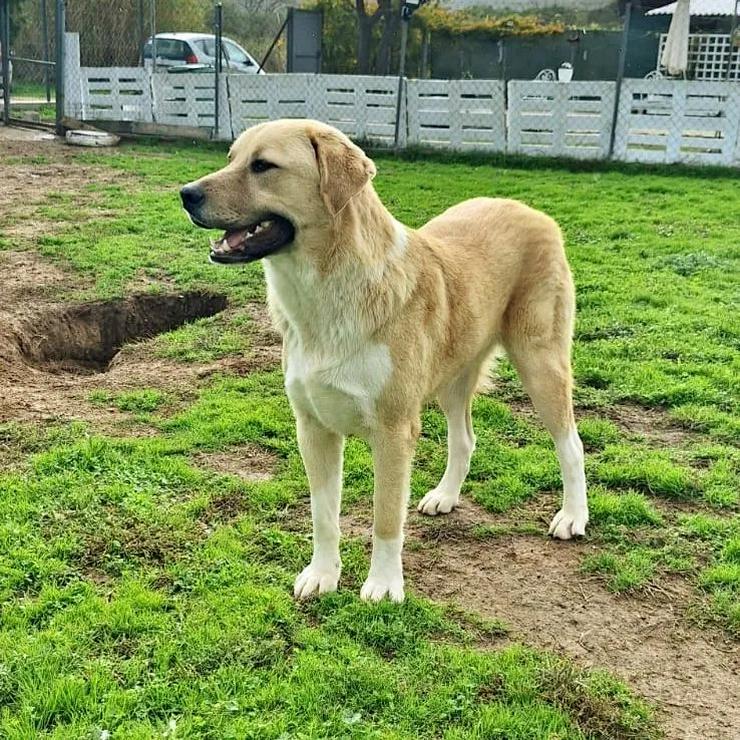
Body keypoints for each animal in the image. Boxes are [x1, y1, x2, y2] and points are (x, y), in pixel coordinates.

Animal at [181, 117, 588, 600]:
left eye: (263, 166)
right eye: (231, 159)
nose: (186, 194)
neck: (328, 294)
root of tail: (530, 210)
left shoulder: (394, 433)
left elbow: (386, 517)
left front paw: (384, 585)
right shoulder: (313, 429)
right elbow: (323, 516)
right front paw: (322, 575)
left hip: (540, 364)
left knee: (571, 444)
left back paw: (573, 516)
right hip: (452, 378)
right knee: (464, 439)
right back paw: (445, 496)